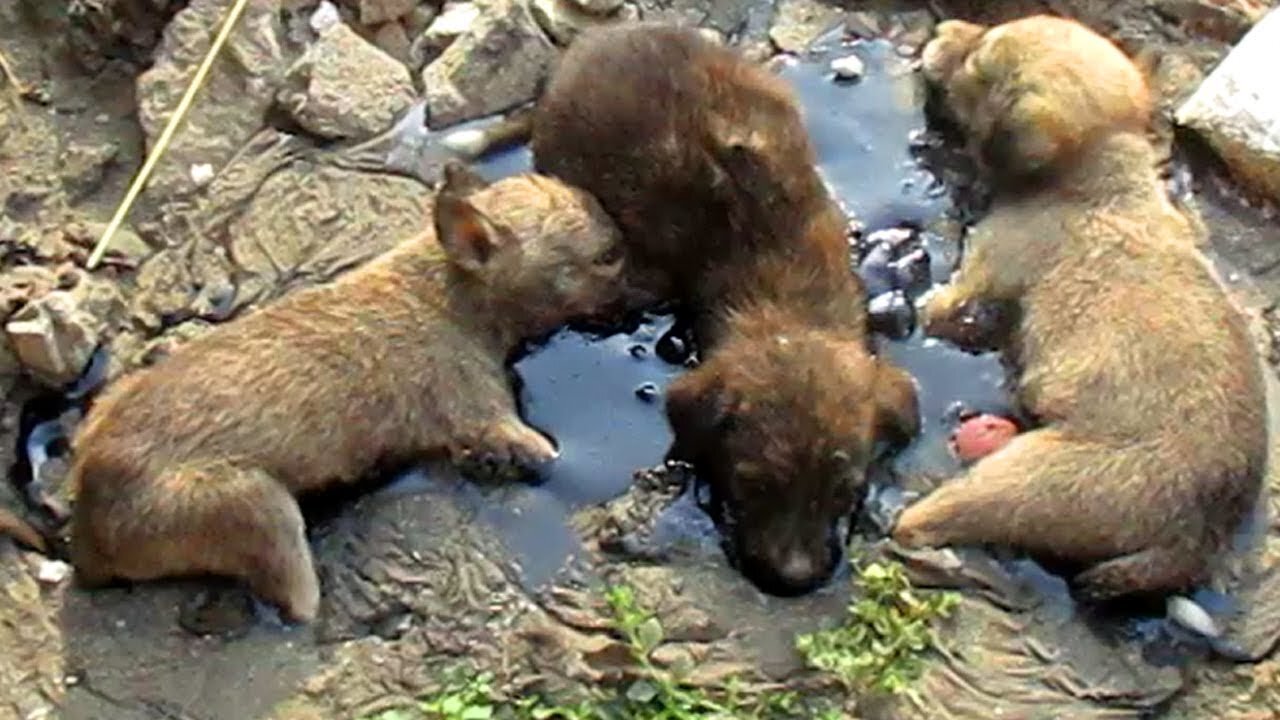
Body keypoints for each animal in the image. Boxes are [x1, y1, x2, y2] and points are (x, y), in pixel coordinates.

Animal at [66, 161, 624, 617]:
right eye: (606, 258)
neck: (451, 290)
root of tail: (87, 533)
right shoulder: (492, 421)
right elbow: (547, 455)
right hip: (259, 507)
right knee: (299, 605)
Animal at [890, 15, 1269, 599]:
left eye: (979, 63)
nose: (943, 27)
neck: (1099, 180)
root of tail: (1196, 535)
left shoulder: (985, 268)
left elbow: (942, 306)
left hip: (1032, 478)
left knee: (935, 519)